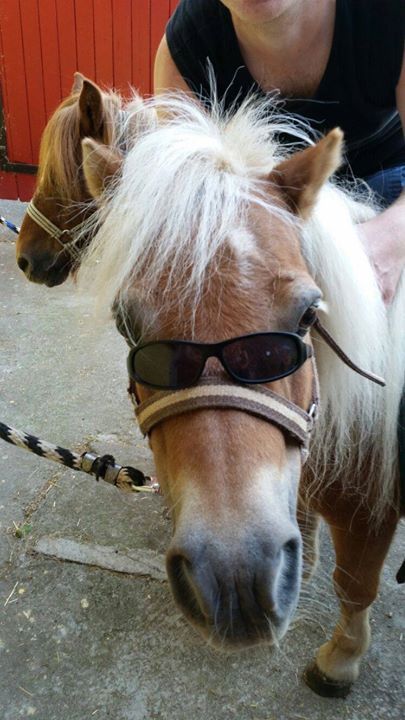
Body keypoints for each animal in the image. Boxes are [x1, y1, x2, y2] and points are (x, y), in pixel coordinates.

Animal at [78, 94, 405, 697]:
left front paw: (340, 659)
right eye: (127, 327)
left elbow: (355, 584)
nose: (235, 581)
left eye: (309, 315)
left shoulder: (370, 510)